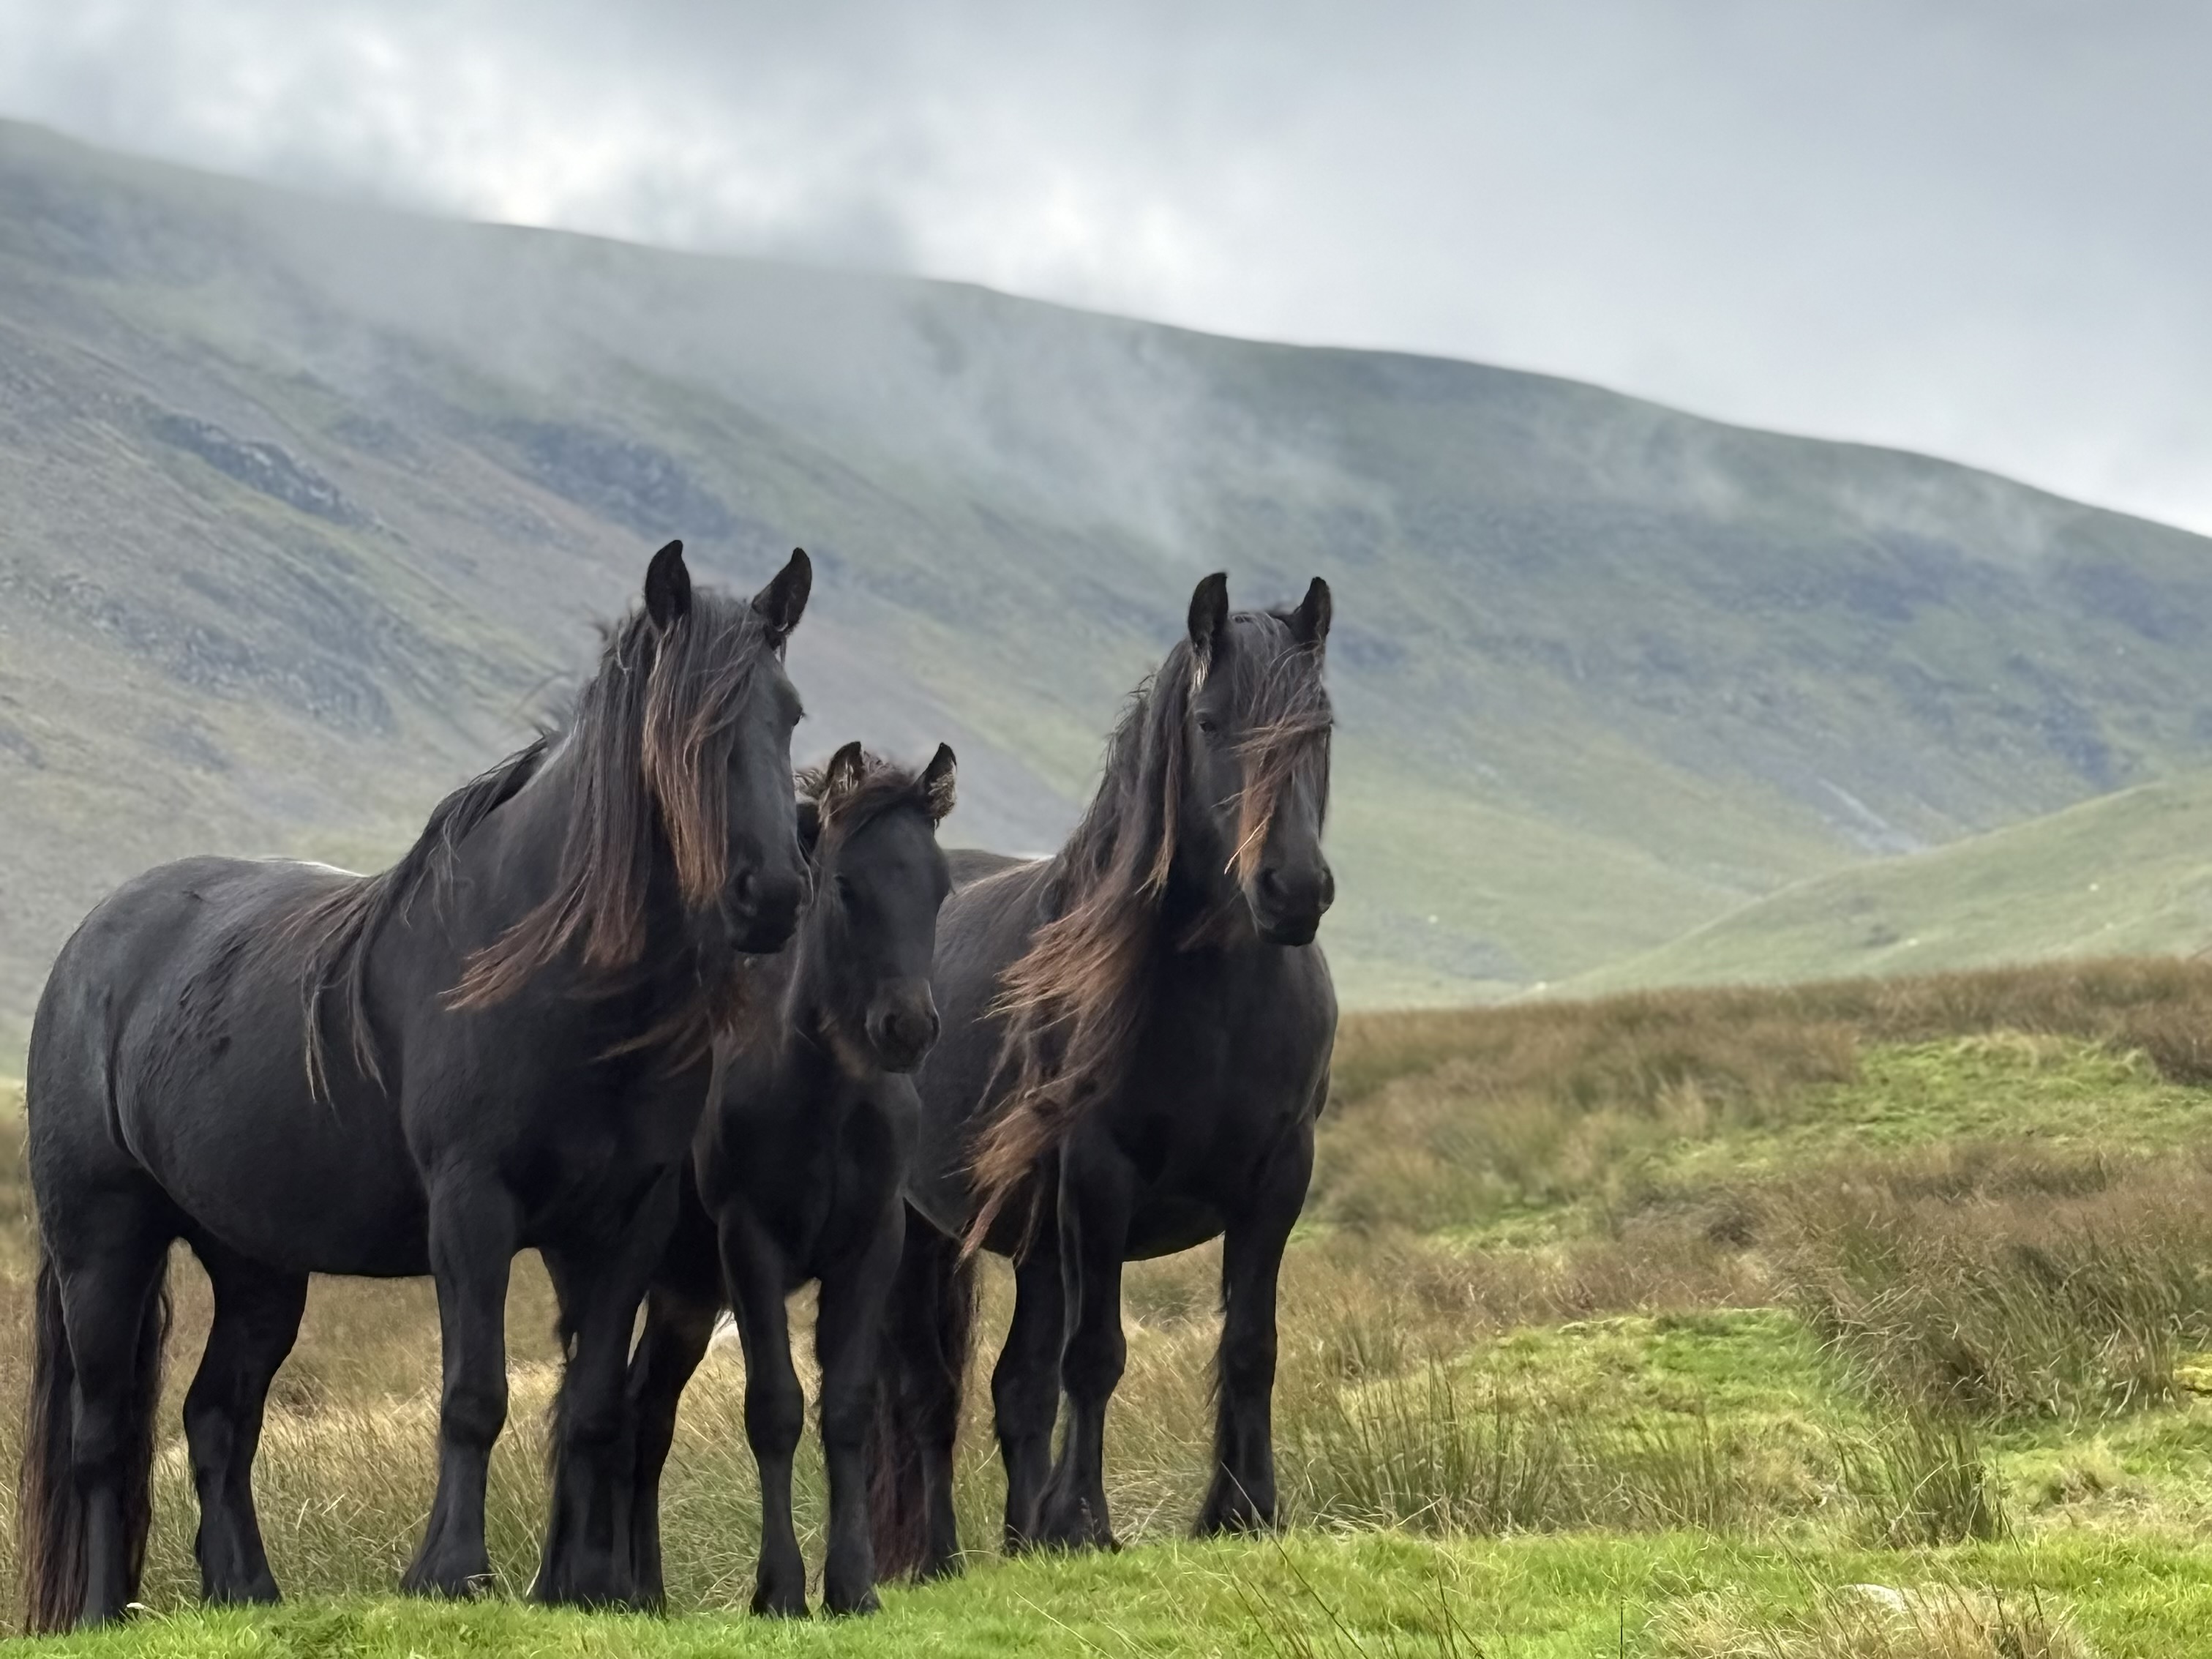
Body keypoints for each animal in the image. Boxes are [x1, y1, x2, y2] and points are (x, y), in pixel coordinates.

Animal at [17, 540, 813, 1630]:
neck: (555, 979)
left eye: (789, 713)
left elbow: (593, 1405)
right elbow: (474, 1394)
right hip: (104, 1241)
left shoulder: (622, 1223)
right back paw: (101, 1609)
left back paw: (248, 1590)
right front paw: (450, 1570)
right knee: (102, 1435)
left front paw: (585, 1585)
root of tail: (90, 944)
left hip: (257, 1264)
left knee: (217, 1415)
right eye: (680, 724)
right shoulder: (472, 1206)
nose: (770, 894)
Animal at [615, 741, 957, 1616]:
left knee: (646, 1411)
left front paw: (854, 1584)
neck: (824, 1095)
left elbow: (846, 1407)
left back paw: (643, 1587)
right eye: (844, 886)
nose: (907, 1027)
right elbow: (773, 1407)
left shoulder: (871, 1244)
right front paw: (779, 1589)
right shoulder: (752, 1243)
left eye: (939, 887)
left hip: (685, 1295)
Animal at [867, 571, 1336, 1576]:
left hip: (1038, 1246)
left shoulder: (1279, 1175)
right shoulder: (1097, 1176)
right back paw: (939, 1557)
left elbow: (1249, 1344)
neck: (1217, 1002)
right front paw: (1083, 1521)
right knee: (926, 1392)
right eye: (1208, 721)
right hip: (923, 1232)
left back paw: (1019, 1539)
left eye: (1320, 726)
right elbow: (1096, 1355)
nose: (1292, 890)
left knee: (1015, 1390)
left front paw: (1244, 1510)